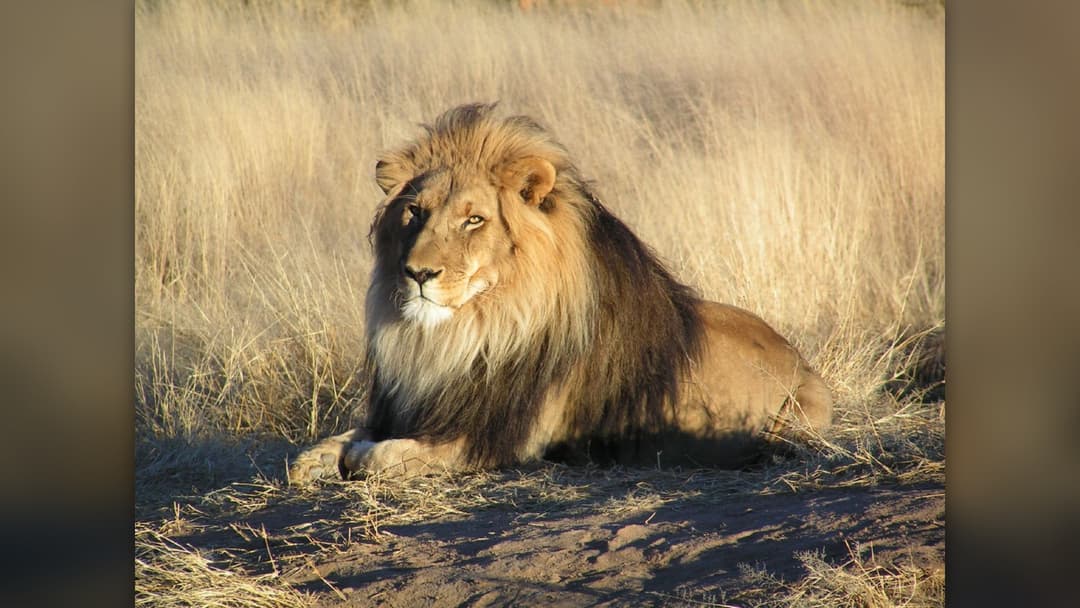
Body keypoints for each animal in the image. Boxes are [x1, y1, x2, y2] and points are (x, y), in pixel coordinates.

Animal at [288, 103, 832, 484]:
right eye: (415, 212)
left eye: (474, 219)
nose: (417, 273)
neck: (466, 333)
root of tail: (800, 358)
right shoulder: (413, 406)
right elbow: (334, 442)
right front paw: (316, 459)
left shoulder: (497, 439)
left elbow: (379, 456)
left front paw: (358, 456)